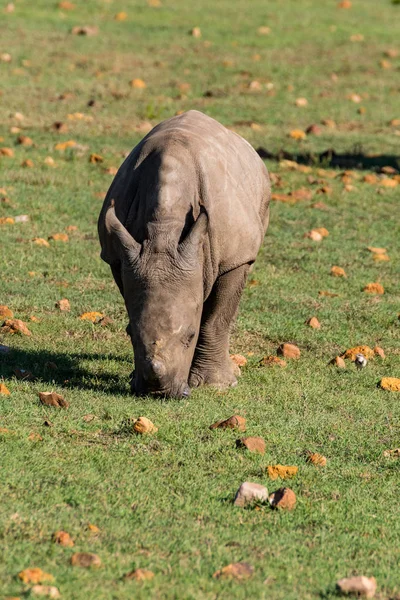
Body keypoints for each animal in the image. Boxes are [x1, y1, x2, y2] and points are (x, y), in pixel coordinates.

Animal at [98, 110, 270, 398]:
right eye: (130, 336)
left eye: (190, 336)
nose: (158, 392)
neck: (163, 230)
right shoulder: (120, 255)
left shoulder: (235, 257)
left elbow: (216, 319)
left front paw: (217, 385)